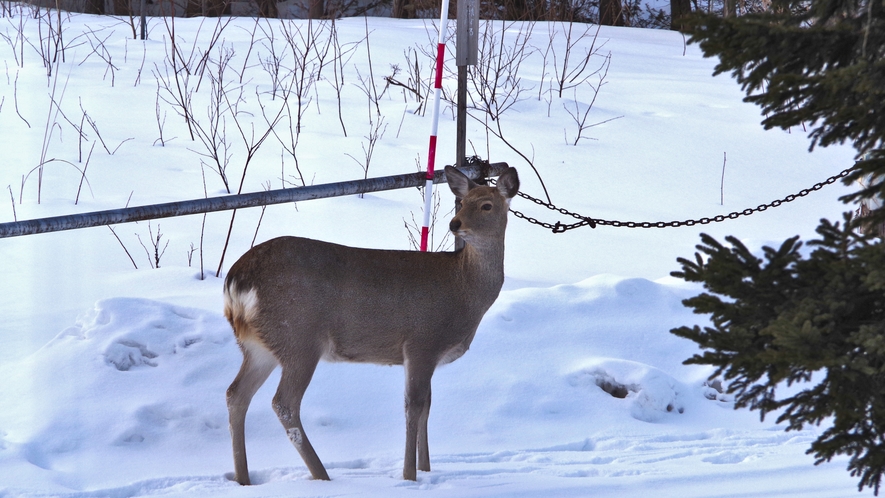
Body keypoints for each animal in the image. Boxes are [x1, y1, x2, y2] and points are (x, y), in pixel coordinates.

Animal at [221, 166, 520, 482]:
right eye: (461, 203)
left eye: (486, 205)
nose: (454, 223)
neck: (464, 289)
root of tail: (236, 279)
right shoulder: (421, 342)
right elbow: (414, 406)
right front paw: (409, 475)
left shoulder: (423, 353)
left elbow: (427, 406)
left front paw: (425, 469)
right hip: (298, 335)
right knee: (284, 403)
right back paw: (321, 475)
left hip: (258, 345)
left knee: (236, 394)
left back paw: (244, 478)